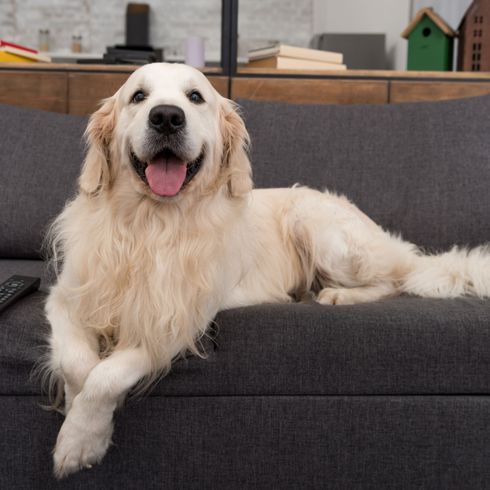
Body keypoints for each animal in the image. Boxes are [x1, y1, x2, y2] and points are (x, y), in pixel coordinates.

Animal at [45, 62, 486, 478]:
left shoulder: (179, 321)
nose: (167, 117)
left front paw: (81, 440)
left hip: (317, 224)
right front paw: (73, 406)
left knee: (393, 280)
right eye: (138, 96)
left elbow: (107, 374)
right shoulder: (64, 298)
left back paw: (337, 294)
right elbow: (77, 363)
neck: (149, 227)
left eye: (195, 97)